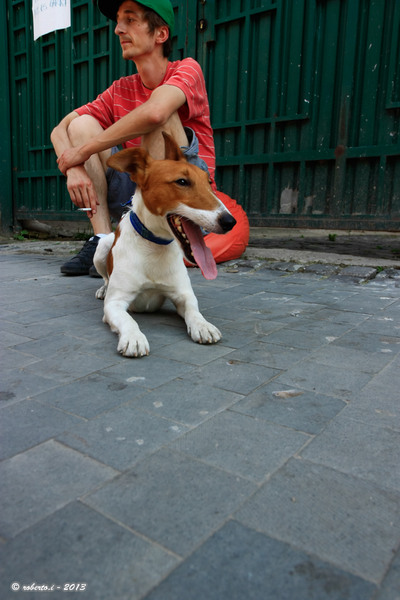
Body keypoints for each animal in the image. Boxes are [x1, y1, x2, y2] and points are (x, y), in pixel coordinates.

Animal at [94, 132, 236, 357]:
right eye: (182, 181)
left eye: (209, 181)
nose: (230, 221)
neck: (154, 247)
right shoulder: (115, 304)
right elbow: (128, 320)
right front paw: (133, 338)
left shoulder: (183, 295)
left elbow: (194, 311)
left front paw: (203, 325)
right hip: (102, 247)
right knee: (105, 278)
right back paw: (102, 289)